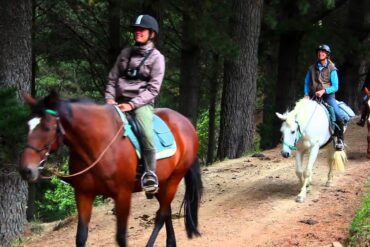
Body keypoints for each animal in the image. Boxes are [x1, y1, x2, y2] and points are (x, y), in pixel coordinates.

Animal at [19, 91, 204, 246]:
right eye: (27, 126)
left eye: (47, 127)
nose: (26, 170)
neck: (98, 145)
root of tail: (186, 123)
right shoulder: (84, 194)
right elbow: (81, 236)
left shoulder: (123, 195)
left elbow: (121, 237)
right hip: (162, 182)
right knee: (166, 212)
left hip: (174, 179)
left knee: (161, 215)